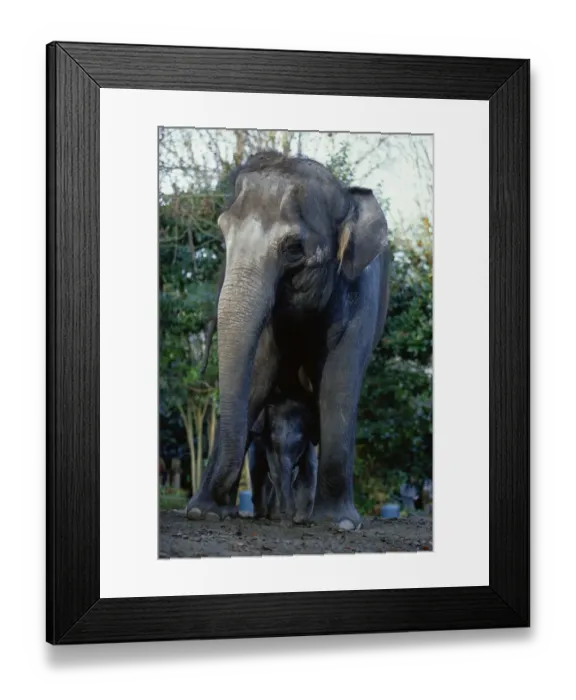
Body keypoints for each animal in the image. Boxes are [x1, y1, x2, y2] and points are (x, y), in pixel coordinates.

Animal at [186, 150, 390, 531]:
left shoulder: (360, 296)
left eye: (294, 248)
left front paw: (338, 523)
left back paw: (304, 517)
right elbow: (257, 378)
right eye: (223, 232)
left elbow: (339, 385)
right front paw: (203, 512)